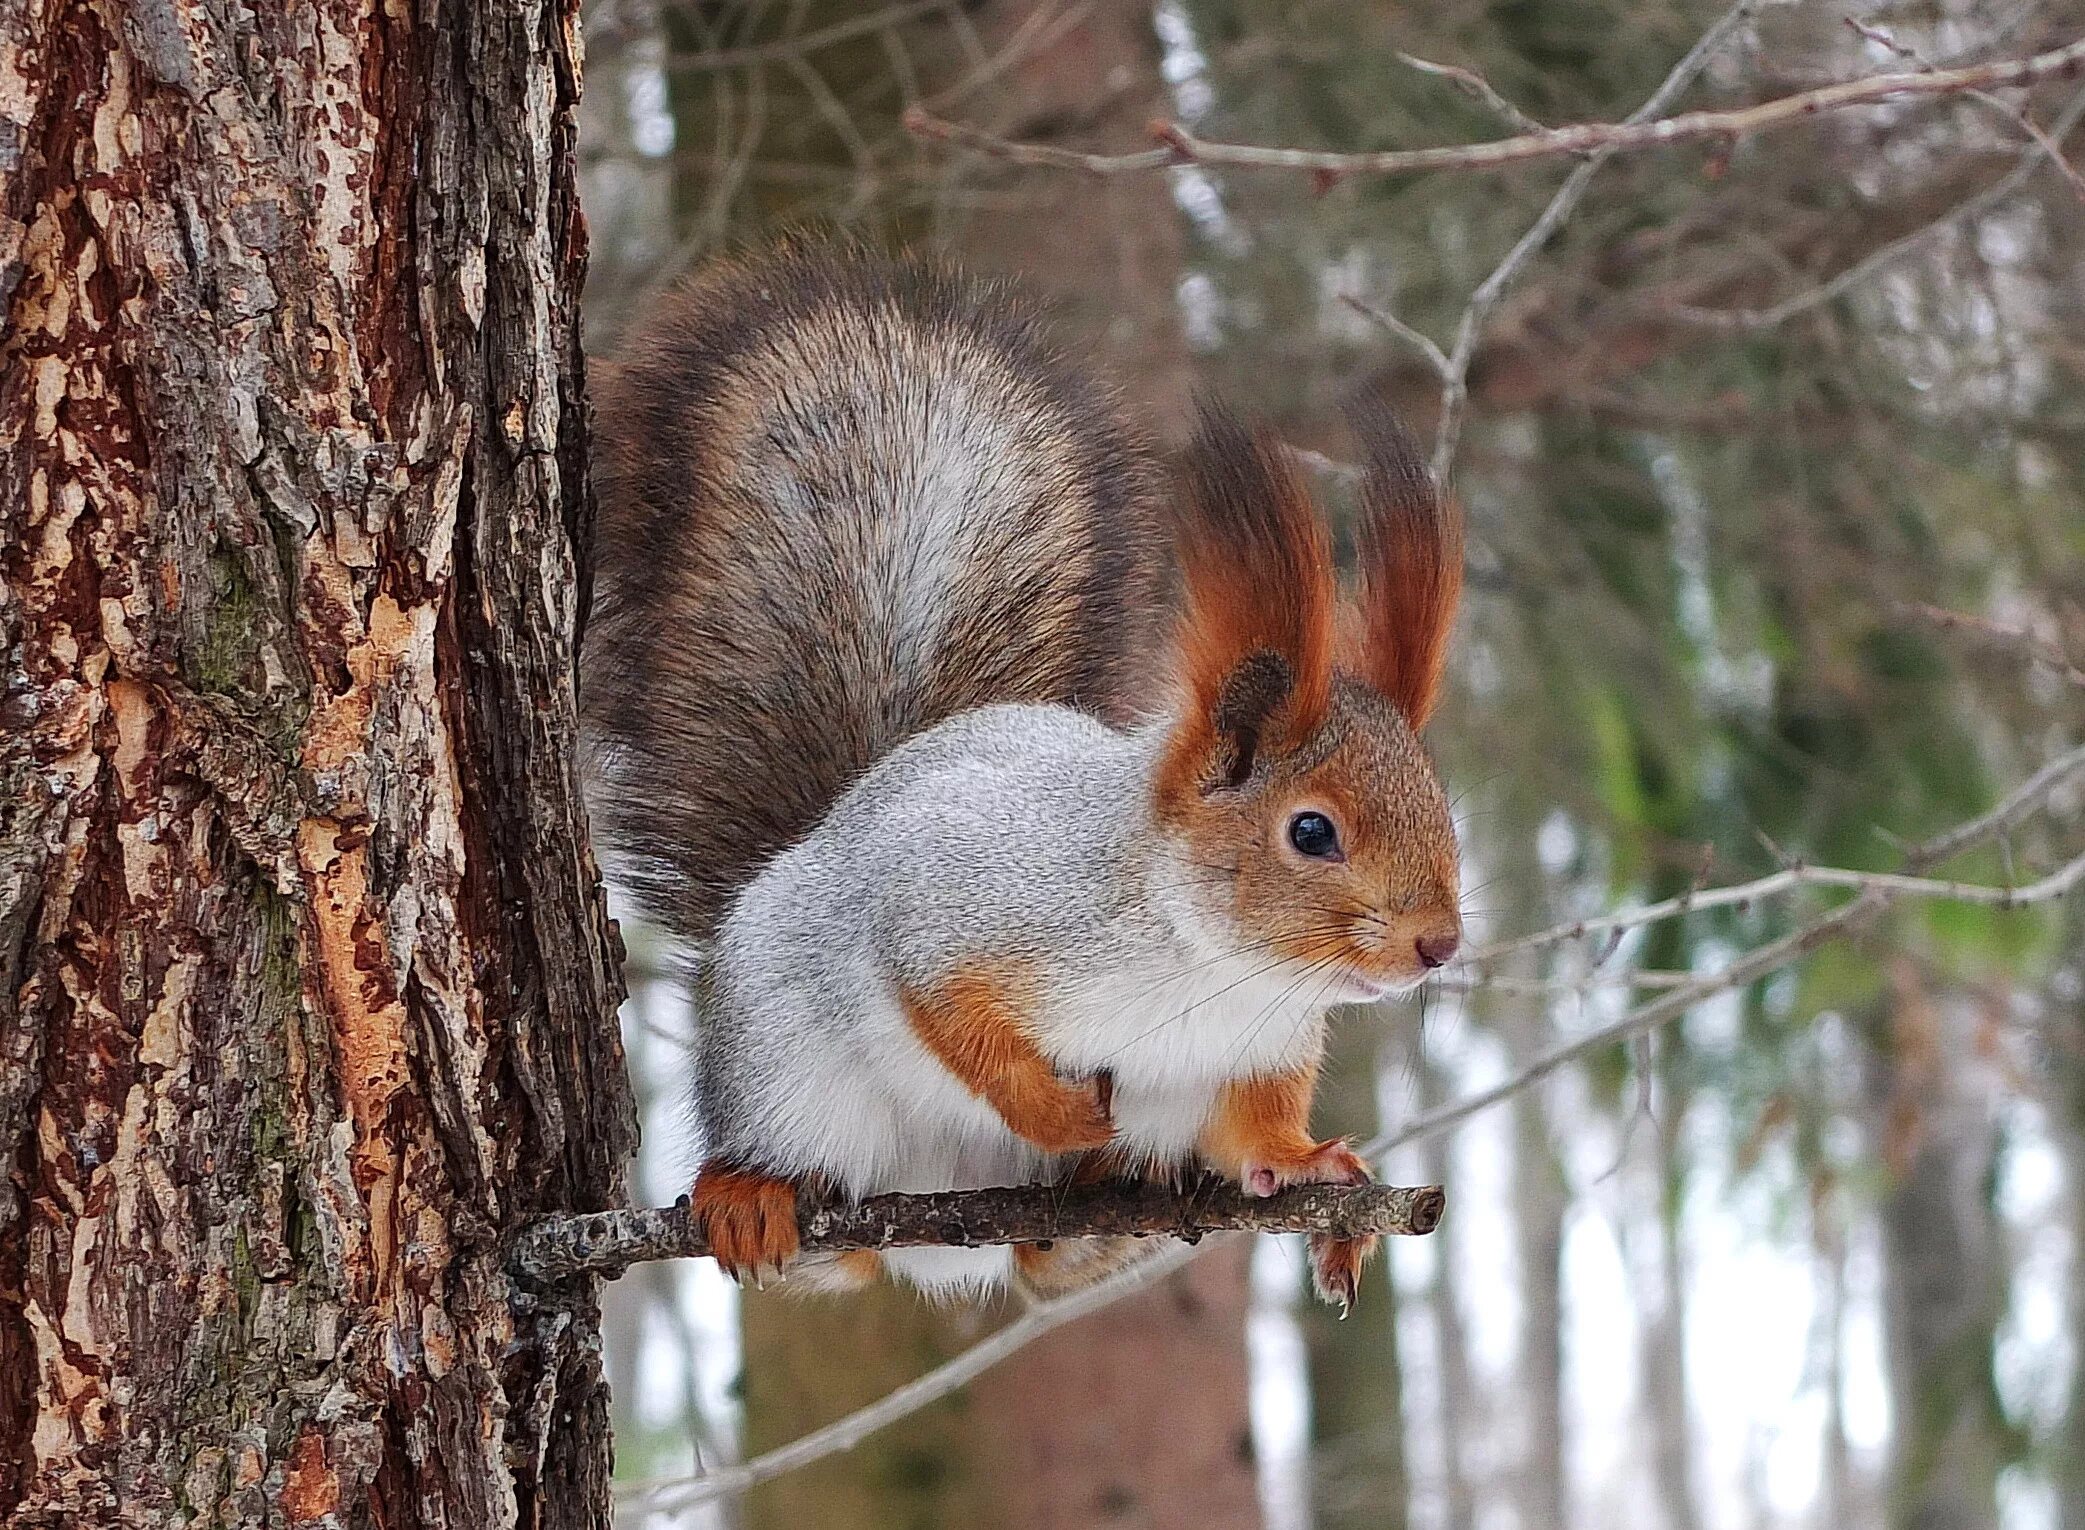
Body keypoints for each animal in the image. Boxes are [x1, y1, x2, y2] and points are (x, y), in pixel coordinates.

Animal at [583, 245, 1467, 1309]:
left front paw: (1308, 1170)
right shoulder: (958, 898)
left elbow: (1252, 1135)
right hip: (786, 1070)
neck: (1210, 965)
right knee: (825, 1238)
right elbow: (945, 1007)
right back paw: (750, 1194)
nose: (1438, 945)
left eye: (1440, 806)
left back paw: (1106, 1204)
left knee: (1029, 1262)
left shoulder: (1260, 1051)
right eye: (1311, 831)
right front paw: (1053, 1111)